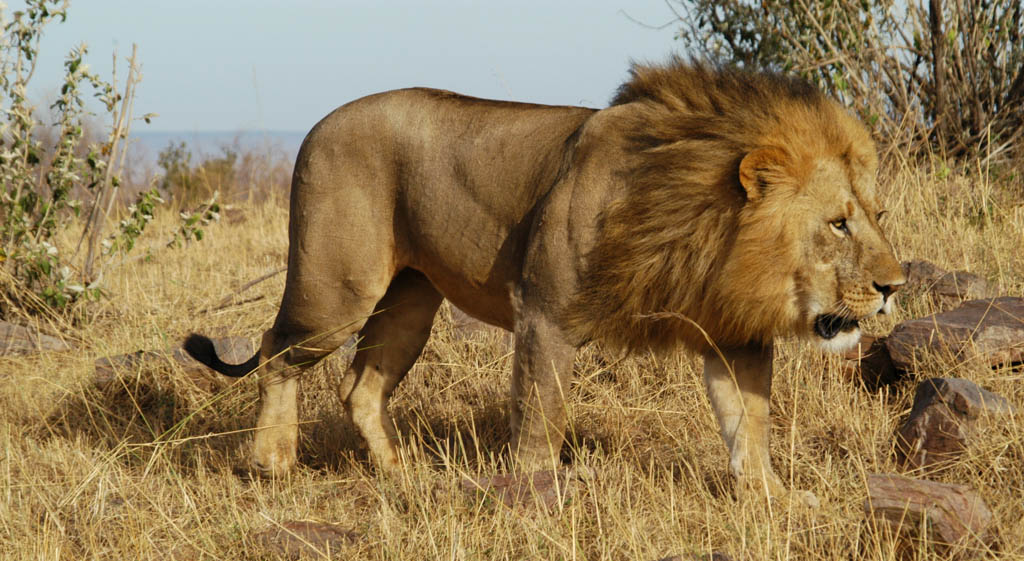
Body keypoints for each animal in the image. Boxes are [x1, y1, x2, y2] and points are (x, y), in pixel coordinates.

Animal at [184, 58, 905, 503]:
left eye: (878, 215)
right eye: (838, 224)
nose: (895, 285)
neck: (701, 225)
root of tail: (316, 123)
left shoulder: (733, 333)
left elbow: (748, 423)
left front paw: (771, 496)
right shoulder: (546, 313)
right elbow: (541, 413)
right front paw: (534, 494)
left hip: (411, 300)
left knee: (359, 385)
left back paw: (399, 472)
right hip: (338, 288)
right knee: (275, 350)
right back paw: (272, 460)